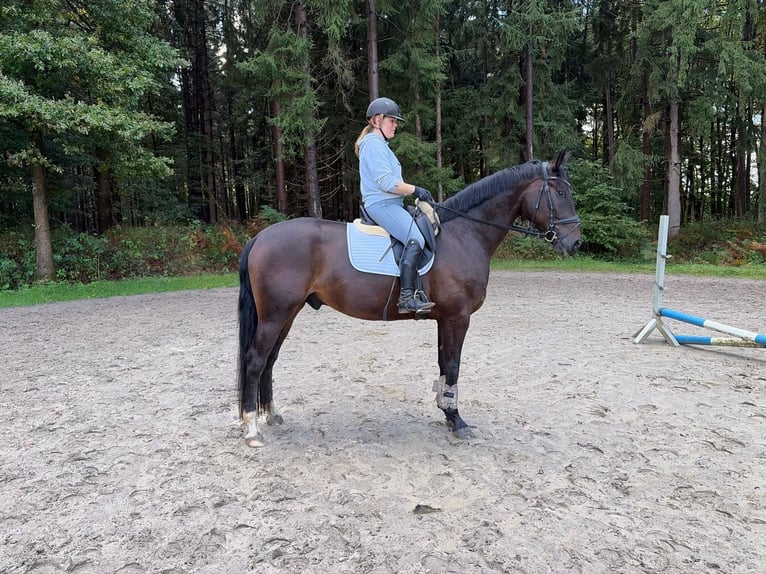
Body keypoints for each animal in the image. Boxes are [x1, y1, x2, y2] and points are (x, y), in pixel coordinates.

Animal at [237, 150, 581, 447]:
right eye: (562, 194)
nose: (575, 243)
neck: (464, 234)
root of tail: (260, 237)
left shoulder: (445, 318)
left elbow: (444, 363)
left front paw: (447, 414)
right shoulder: (458, 317)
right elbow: (453, 366)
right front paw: (457, 421)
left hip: (286, 314)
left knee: (270, 360)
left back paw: (271, 415)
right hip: (275, 315)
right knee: (255, 361)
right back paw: (253, 429)